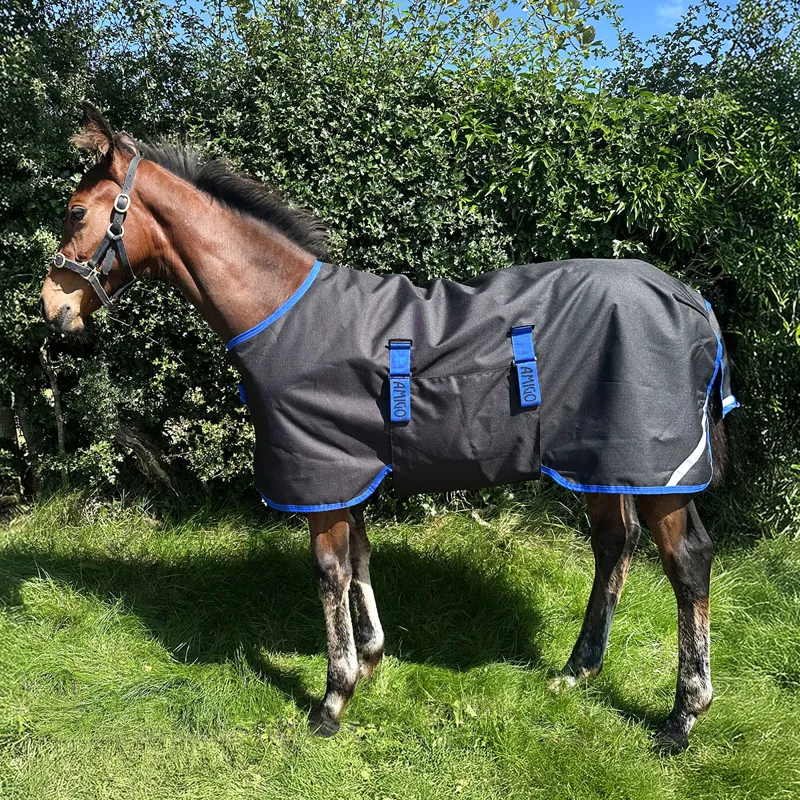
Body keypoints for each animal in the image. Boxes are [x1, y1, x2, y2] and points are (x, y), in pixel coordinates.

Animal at [41, 105, 738, 752]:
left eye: (76, 211)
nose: (53, 308)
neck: (284, 312)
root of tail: (692, 300)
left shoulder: (320, 474)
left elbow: (330, 572)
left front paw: (333, 698)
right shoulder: (346, 470)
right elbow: (359, 555)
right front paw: (372, 659)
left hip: (657, 469)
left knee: (687, 562)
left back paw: (683, 716)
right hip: (602, 462)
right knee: (615, 546)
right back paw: (577, 672)